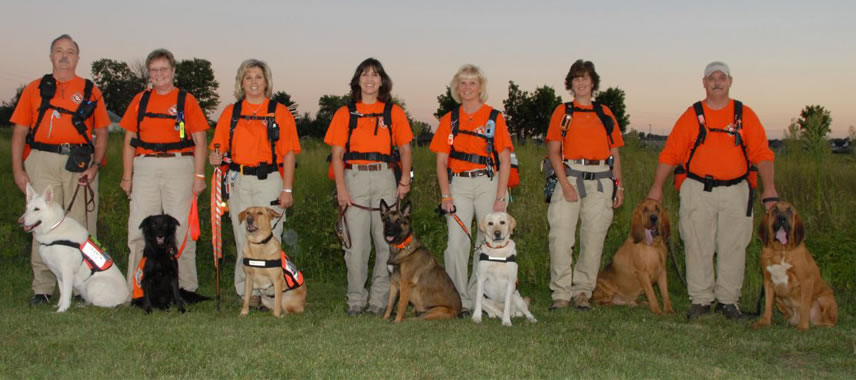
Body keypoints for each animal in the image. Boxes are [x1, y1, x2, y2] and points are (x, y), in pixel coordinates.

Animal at [17, 184, 129, 312]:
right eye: (27, 208)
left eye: (36, 209)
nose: (20, 221)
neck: (54, 227)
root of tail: (127, 299)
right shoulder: (58, 274)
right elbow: (62, 292)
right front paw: (59, 305)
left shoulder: (66, 271)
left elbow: (66, 294)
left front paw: (62, 310)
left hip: (92, 285)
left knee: (102, 306)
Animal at [756, 202, 836, 330]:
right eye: (775, 210)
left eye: (790, 210)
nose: (781, 218)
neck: (781, 251)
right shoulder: (767, 281)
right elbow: (767, 306)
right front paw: (764, 322)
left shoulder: (806, 281)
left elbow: (804, 306)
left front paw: (803, 327)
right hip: (778, 298)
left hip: (825, 299)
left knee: (830, 321)